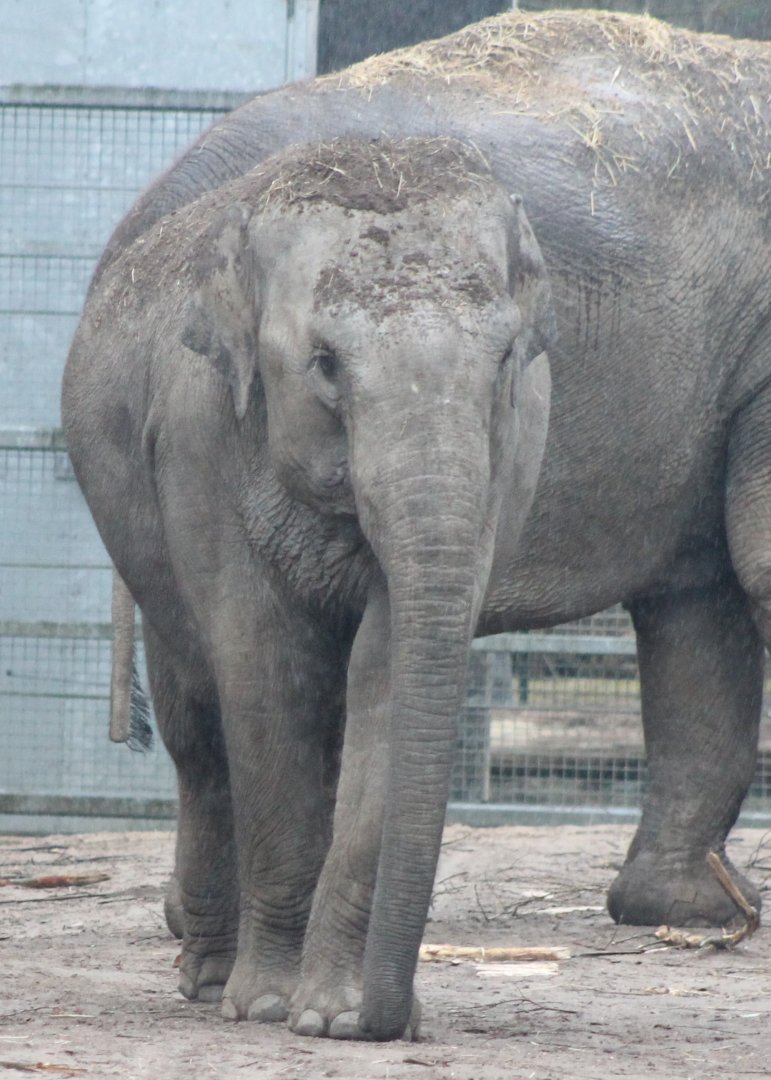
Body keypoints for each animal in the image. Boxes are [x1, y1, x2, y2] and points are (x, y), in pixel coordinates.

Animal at [63, 8, 770, 1042]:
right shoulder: (197, 431)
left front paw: (332, 1012)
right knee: (200, 714)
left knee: (691, 603)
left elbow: (386, 666)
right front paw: (276, 1005)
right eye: (320, 363)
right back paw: (207, 969)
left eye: (511, 361)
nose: (386, 1019)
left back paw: (695, 909)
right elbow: (267, 668)